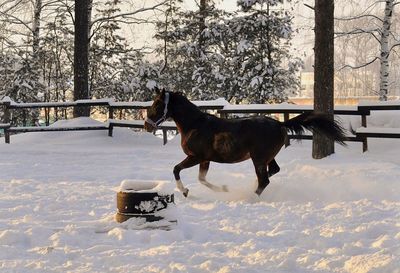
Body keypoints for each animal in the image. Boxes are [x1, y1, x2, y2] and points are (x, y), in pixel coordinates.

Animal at [145, 88, 346, 197]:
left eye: (157, 104)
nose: (147, 125)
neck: (195, 125)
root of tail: (280, 124)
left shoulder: (196, 157)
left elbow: (176, 169)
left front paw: (185, 191)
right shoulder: (205, 159)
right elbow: (202, 179)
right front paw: (224, 189)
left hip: (258, 159)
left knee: (264, 180)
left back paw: (249, 196)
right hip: (266, 158)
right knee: (273, 171)